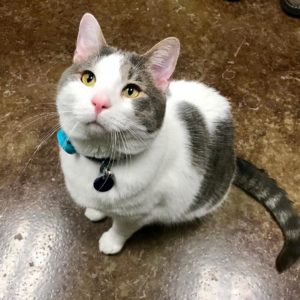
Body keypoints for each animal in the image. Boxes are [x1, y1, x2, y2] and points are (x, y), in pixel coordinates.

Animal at [56, 12, 300, 274]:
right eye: (88, 78)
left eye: (131, 91)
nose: (99, 102)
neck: (101, 161)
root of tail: (233, 158)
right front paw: (96, 210)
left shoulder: (141, 212)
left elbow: (123, 228)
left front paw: (111, 241)